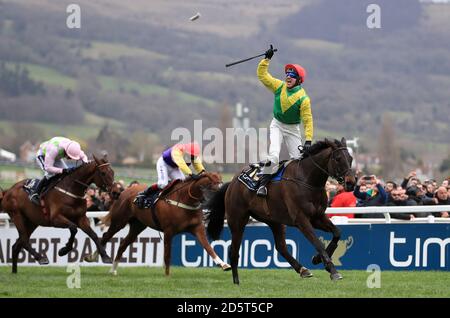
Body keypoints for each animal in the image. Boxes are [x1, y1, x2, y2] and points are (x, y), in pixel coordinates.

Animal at [85, 173, 232, 274]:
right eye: (215, 189)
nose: (223, 205)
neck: (184, 200)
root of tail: (124, 192)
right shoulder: (168, 231)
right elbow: (167, 254)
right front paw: (167, 275)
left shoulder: (197, 228)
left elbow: (208, 247)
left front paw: (224, 264)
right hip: (119, 221)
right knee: (106, 236)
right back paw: (93, 257)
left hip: (138, 225)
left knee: (123, 244)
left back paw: (113, 270)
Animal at [206, 138, 356, 284]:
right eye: (338, 158)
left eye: (350, 158)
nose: (351, 182)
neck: (306, 180)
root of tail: (231, 184)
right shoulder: (301, 219)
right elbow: (318, 243)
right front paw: (333, 270)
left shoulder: (317, 217)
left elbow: (337, 232)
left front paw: (317, 259)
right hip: (237, 220)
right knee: (234, 250)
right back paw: (236, 281)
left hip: (274, 221)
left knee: (281, 246)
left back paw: (303, 269)